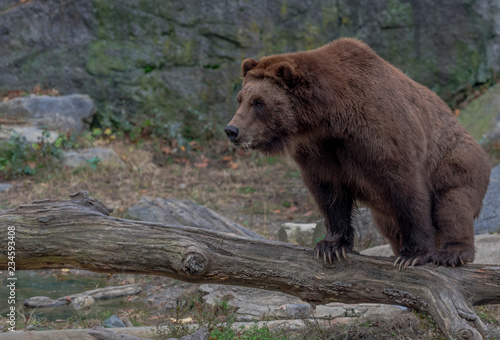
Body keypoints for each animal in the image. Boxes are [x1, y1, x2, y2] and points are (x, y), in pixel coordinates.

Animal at [225, 38, 490, 268]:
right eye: (240, 99)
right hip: (386, 212)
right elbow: (330, 194)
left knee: (452, 205)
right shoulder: (319, 152)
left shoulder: (381, 137)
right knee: (390, 224)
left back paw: (452, 253)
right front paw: (331, 246)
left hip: (455, 162)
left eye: (258, 102)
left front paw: (413, 254)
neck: (330, 119)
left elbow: (407, 190)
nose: (232, 130)